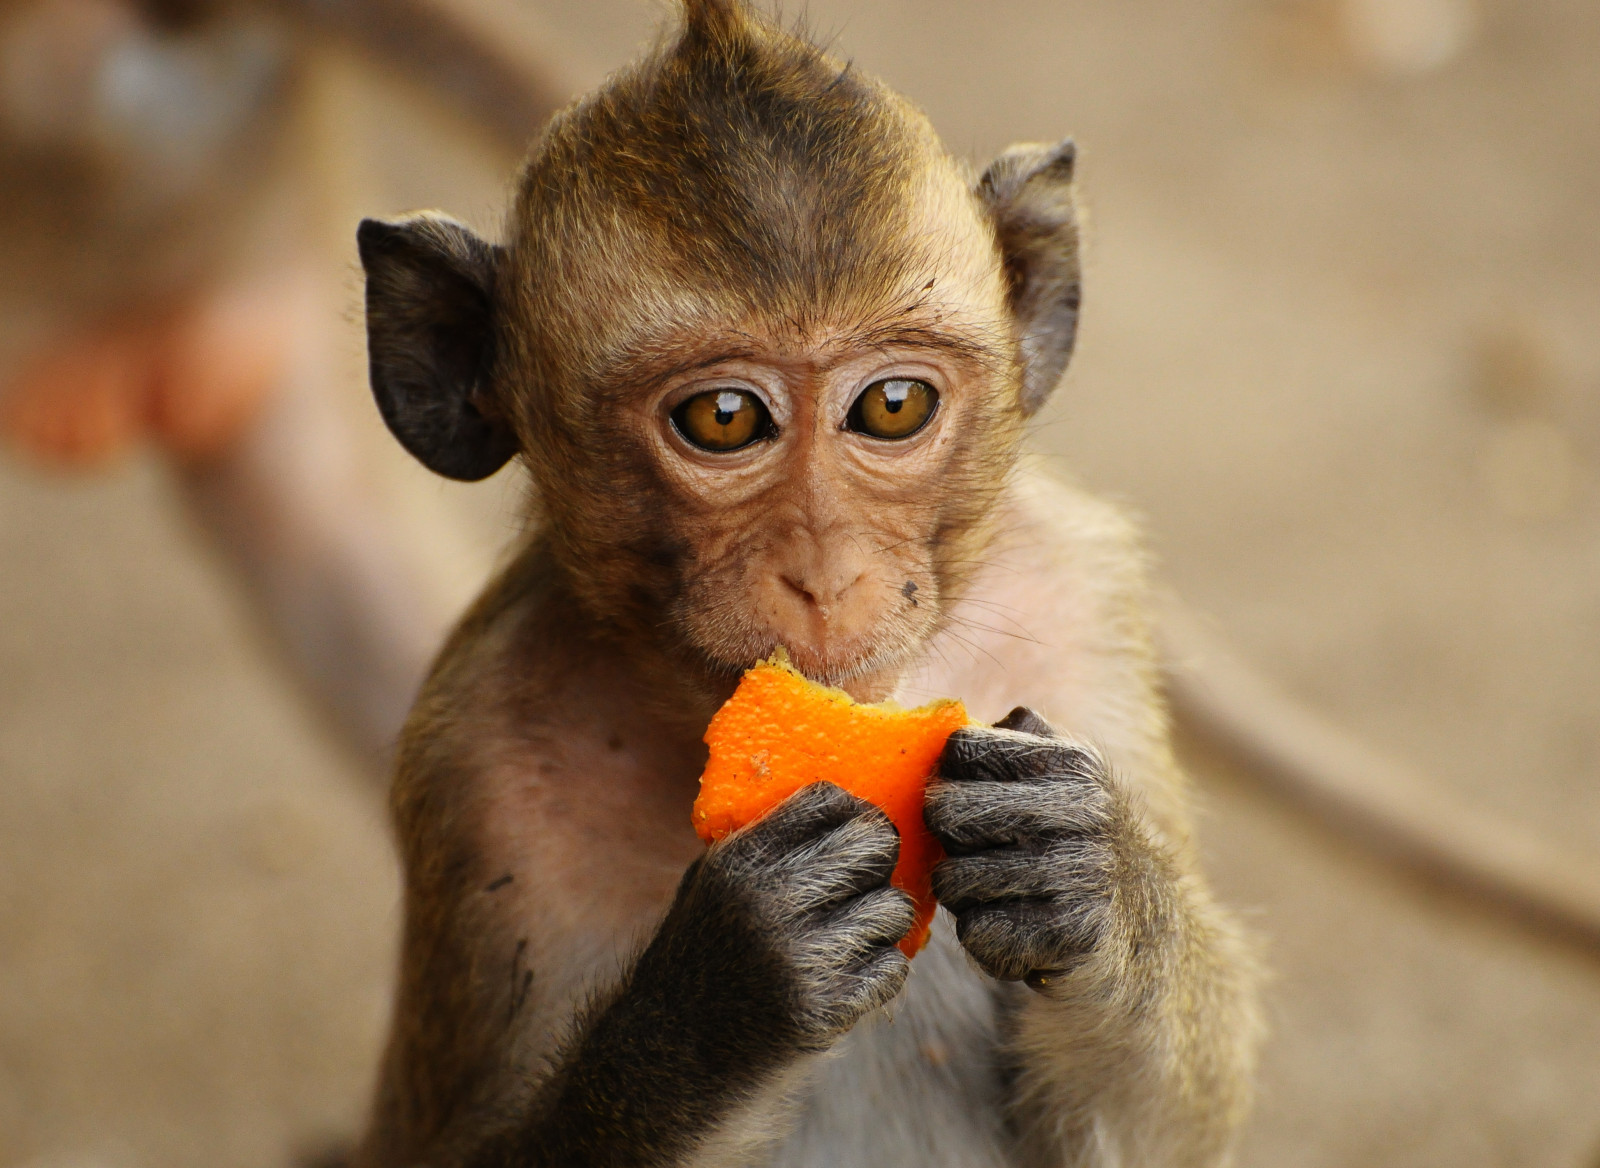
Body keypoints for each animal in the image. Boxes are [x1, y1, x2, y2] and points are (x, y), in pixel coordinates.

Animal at [351, 2, 1261, 1165]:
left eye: (892, 406)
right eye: (724, 419)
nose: (826, 576)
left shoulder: (1075, 597)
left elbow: (1158, 1140)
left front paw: (1089, 873)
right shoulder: (479, 764)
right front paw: (725, 989)